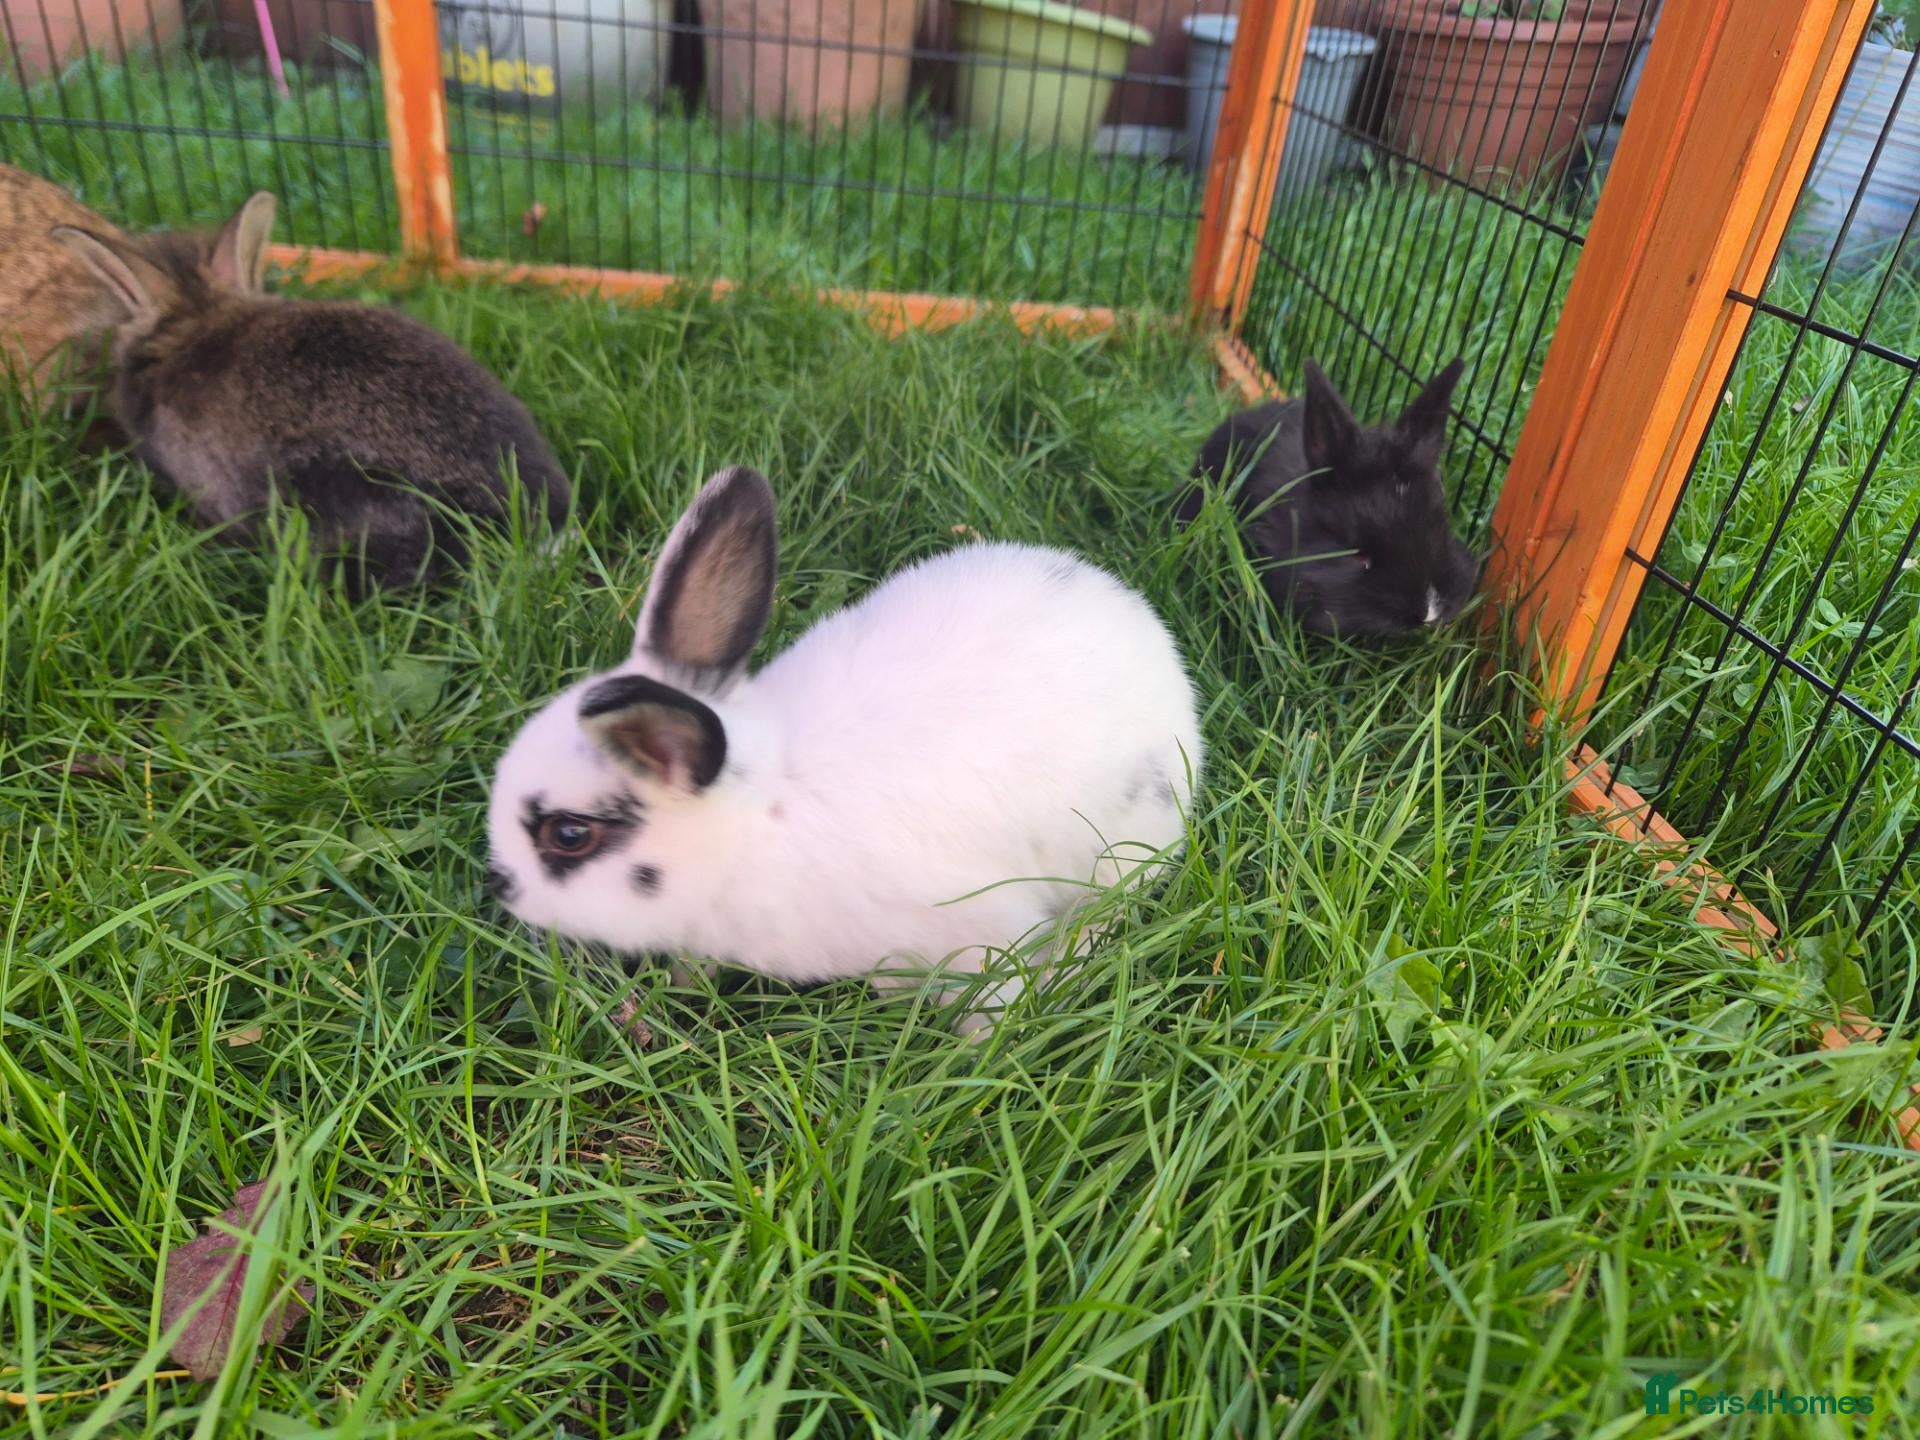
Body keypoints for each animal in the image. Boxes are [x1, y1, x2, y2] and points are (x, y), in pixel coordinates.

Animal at [485, 465, 1204, 1039]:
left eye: (569, 835)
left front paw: (978, 1047)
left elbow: (995, 993)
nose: (499, 887)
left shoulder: (981, 929)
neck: (755, 825)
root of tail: (1145, 628)